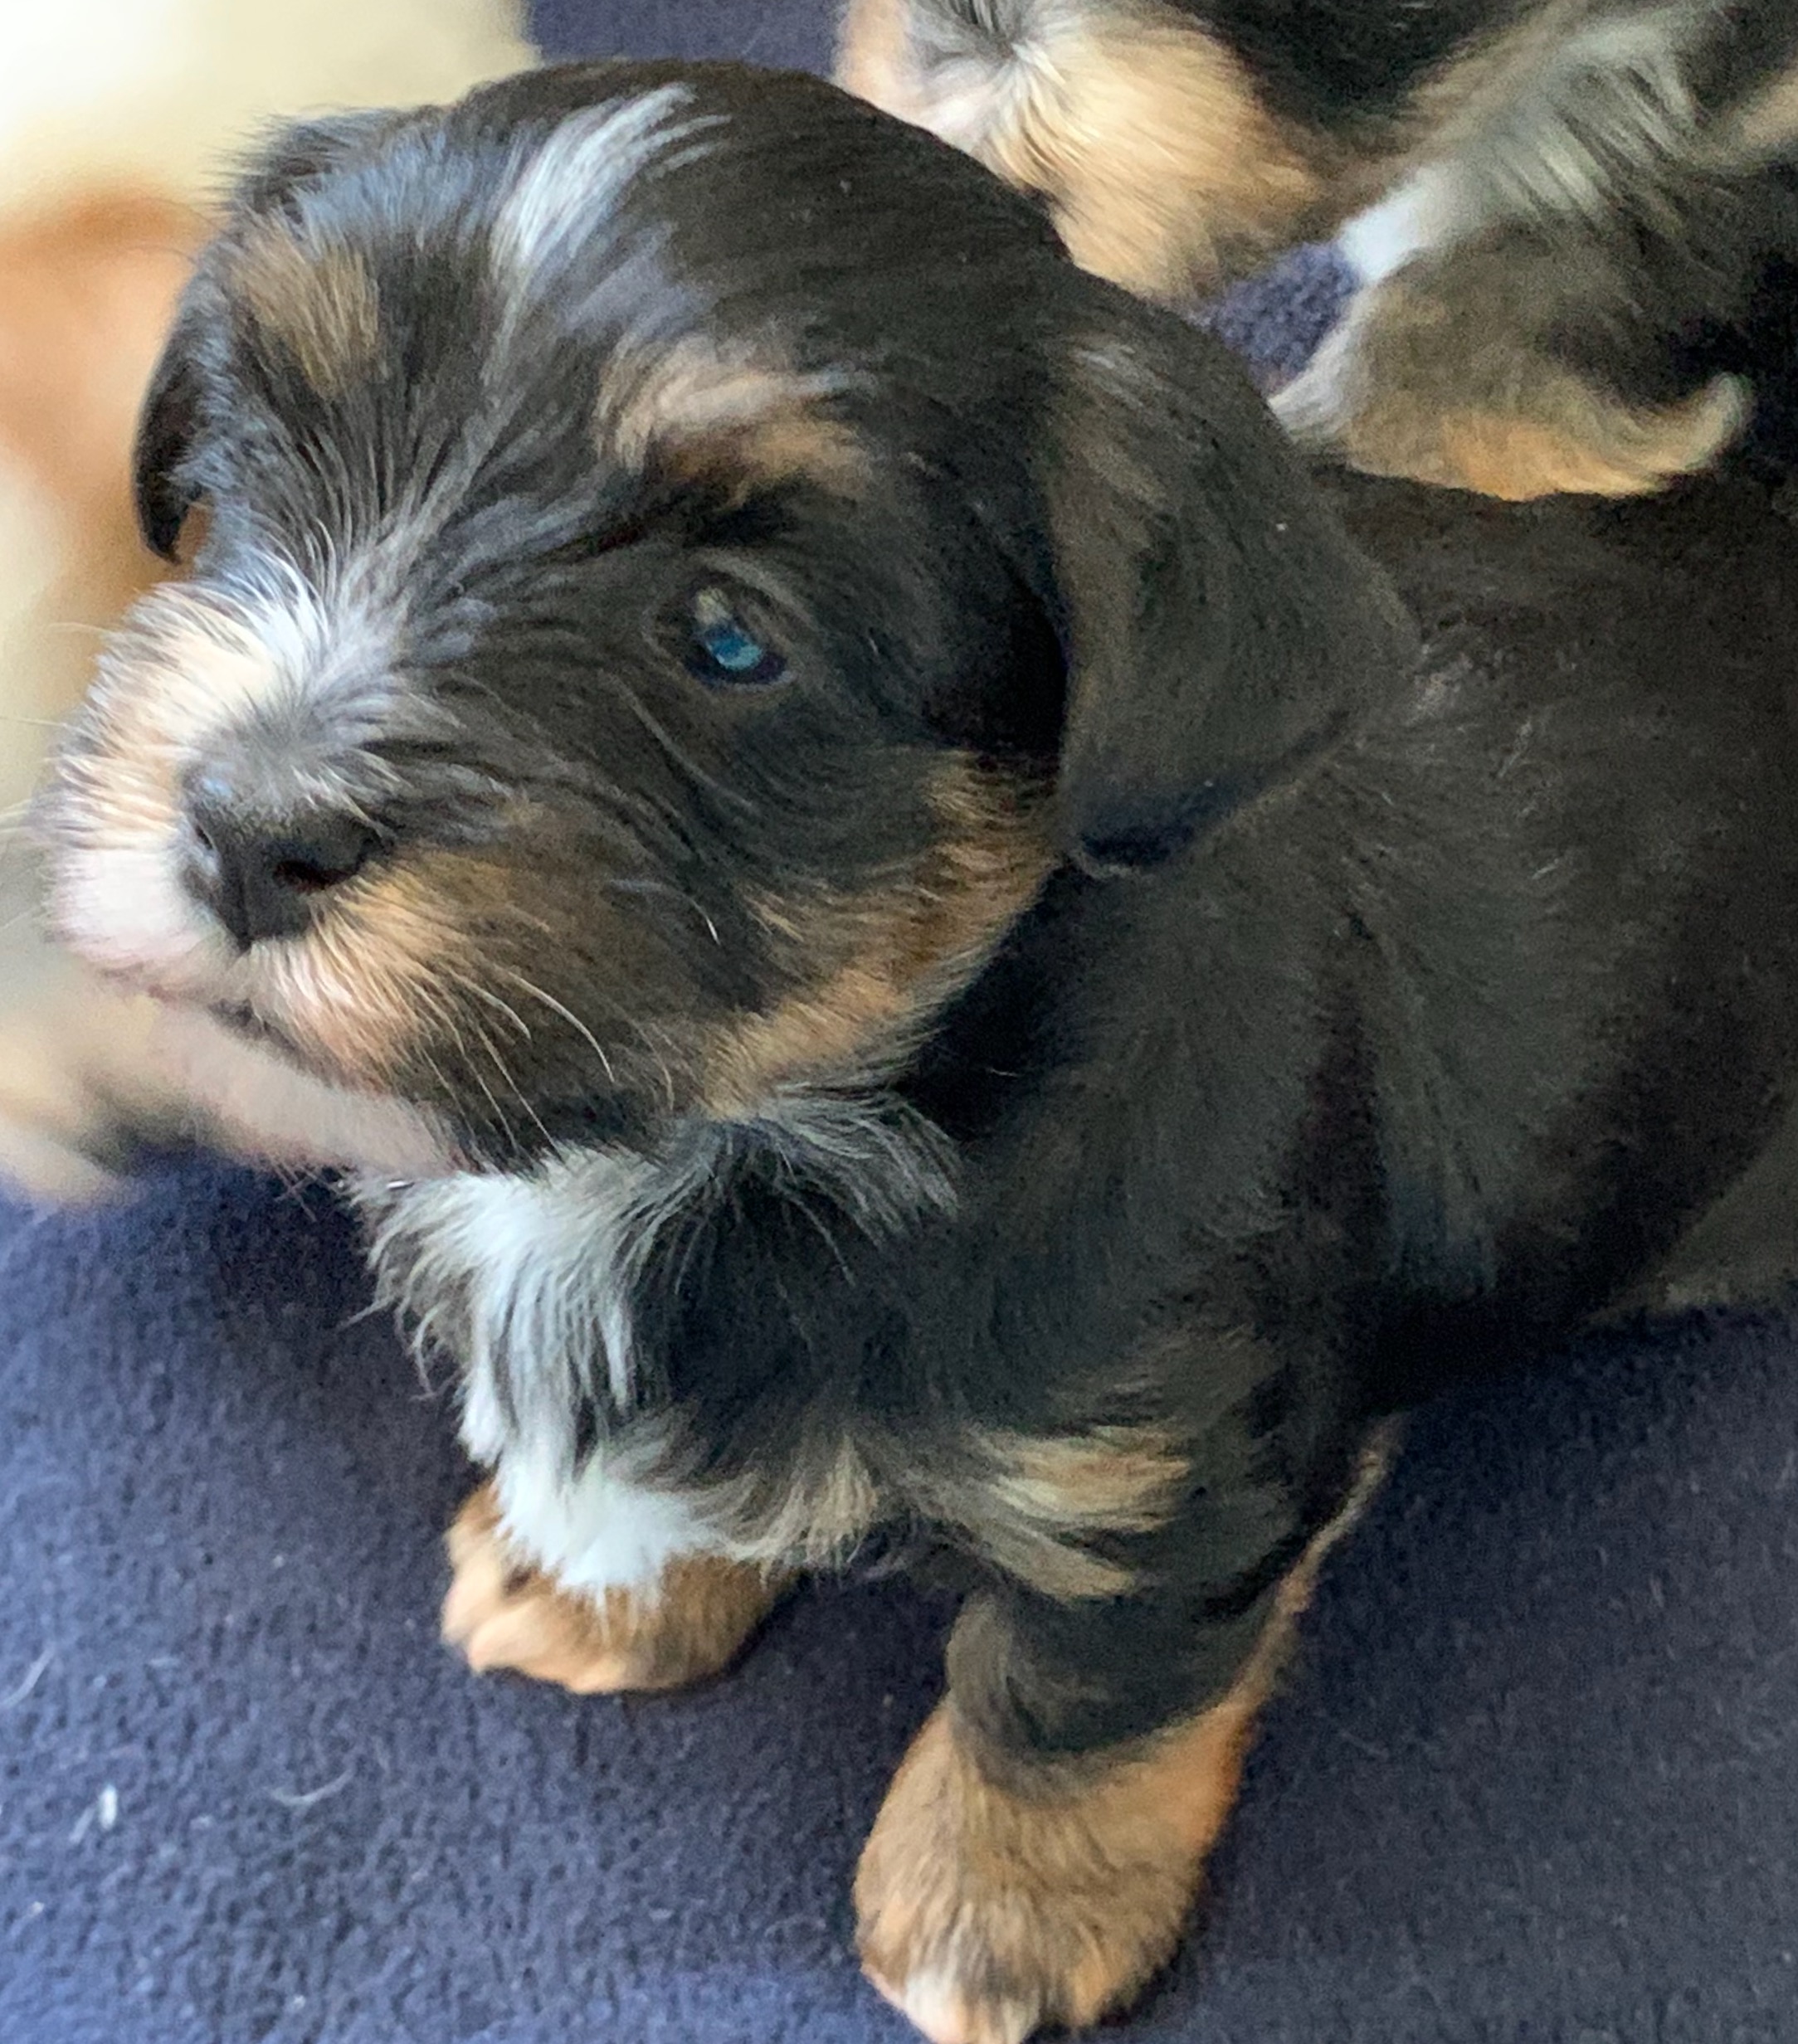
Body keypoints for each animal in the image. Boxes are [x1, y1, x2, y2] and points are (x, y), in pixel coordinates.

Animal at [34, 59, 1798, 2044]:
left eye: (730, 637)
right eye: (266, 463)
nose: (245, 829)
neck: (837, 1092)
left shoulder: (1175, 1479)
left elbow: (1069, 1691)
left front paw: (996, 1909)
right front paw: (600, 1580)